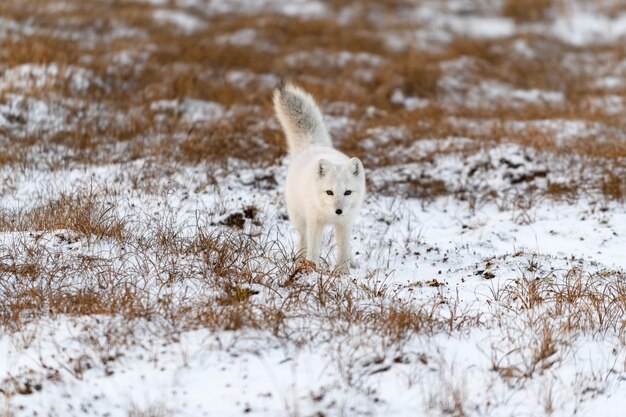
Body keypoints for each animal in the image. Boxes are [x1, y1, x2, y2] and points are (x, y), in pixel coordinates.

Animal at [272, 83, 366, 272]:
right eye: (329, 192)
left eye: (347, 192)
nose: (338, 211)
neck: (331, 216)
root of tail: (313, 145)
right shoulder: (315, 222)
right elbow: (314, 249)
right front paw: (311, 269)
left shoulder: (345, 223)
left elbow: (343, 250)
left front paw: (343, 272)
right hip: (299, 218)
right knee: (303, 239)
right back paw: (300, 259)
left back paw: (353, 262)